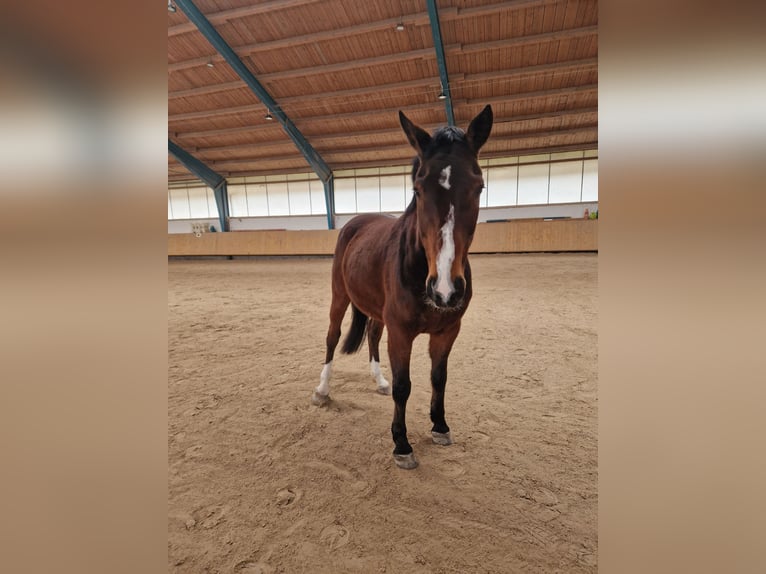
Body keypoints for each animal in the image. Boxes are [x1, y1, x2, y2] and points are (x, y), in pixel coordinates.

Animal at [311, 105, 493, 469]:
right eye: (419, 189)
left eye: (479, 186)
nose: (445, 290)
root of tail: (355, 223)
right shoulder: (401, 332)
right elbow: (403, 386)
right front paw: (401, 444)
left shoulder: (447, 331)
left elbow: (439, 378)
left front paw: (440, 426)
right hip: (339, 296)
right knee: (332, 337)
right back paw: (323, 390)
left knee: (371, 335)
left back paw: (377, 379)